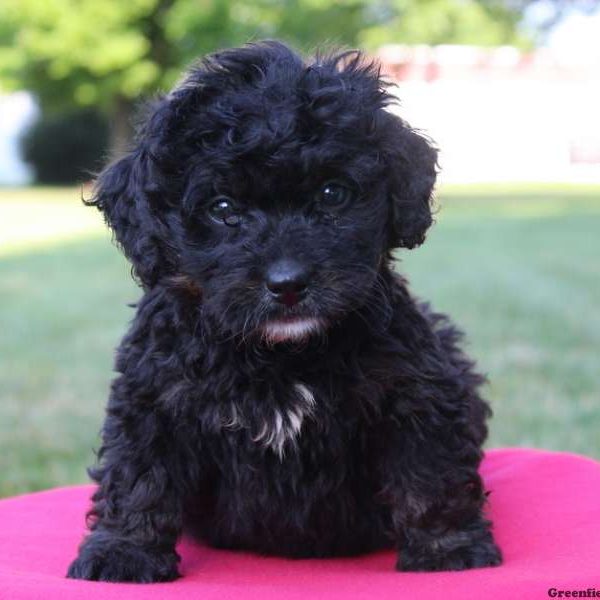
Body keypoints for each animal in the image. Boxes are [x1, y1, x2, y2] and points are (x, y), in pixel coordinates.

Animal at [67, 38, 502, 580]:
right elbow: (139, 474)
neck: (283, 356)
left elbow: (430, 471)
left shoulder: (415, 391)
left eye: (333, 193)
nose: (288, 283)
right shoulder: (155, 396)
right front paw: (123, 551)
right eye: (223, 209)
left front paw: (448, 548)